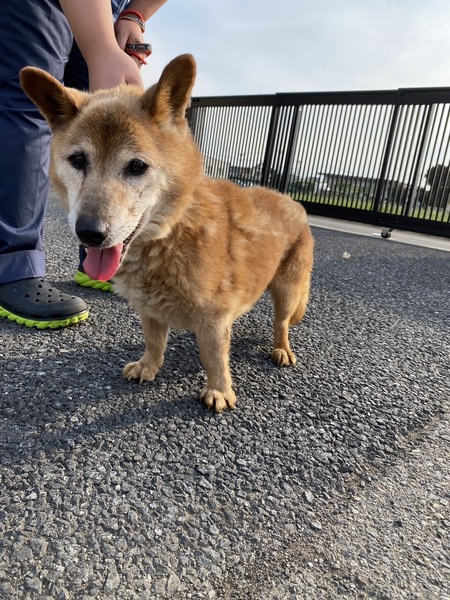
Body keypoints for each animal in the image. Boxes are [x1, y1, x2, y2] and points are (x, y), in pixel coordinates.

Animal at [20, 54, 314, 413]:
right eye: (77, 160)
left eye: (136, 166)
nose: (89, 233)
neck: (170, 235)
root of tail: (292, 201)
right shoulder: (150, 309)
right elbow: (154, 341)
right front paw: (149, 366)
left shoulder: (213, 317)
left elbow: (214, 355)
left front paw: (219, 389)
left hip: (287, 291)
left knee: (281, 323)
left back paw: (281, 348)